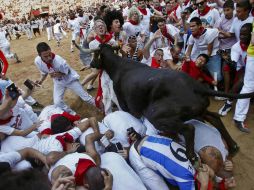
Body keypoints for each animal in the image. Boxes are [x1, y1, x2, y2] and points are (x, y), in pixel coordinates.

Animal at [80, 43, 254, 163]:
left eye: (95, 55)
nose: (92, 64)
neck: (118, 66)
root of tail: (196, 86)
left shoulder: (125, 104)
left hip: (157, 116)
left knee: (189, 129)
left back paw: (192, 157)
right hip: (199, 110)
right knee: (214, 118)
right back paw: (233, 146)